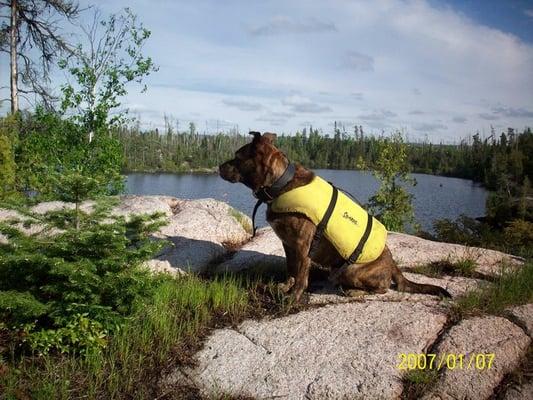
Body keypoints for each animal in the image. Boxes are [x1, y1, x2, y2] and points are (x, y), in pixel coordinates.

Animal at [218, 131, 450, 300]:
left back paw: (355, 291)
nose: (219, 166)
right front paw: (284, 287)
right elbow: (291, 269)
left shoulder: (303, 245)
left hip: (351, 270)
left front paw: (294, 296)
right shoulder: (288, 244)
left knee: (383, 288)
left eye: (237, 157)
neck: (280, 183)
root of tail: (394, 264)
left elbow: (301, 274)